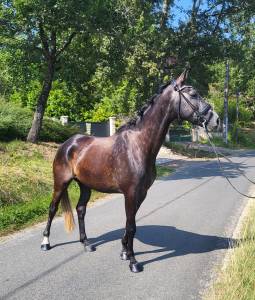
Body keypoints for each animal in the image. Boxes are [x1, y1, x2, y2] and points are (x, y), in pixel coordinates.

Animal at [40, 69, 219, 274]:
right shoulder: (131, 193)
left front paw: (124, 252)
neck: (138, 145)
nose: (216, 120)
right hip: (60, 183)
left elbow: (129, 223)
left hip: (85, 185)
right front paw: (133, 261)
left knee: (81, 209)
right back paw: (45, 242)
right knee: (52, 208)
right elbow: (132, 226)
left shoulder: (140, 194)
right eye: (193, 94)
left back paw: (86, 243)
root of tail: (68, 143)